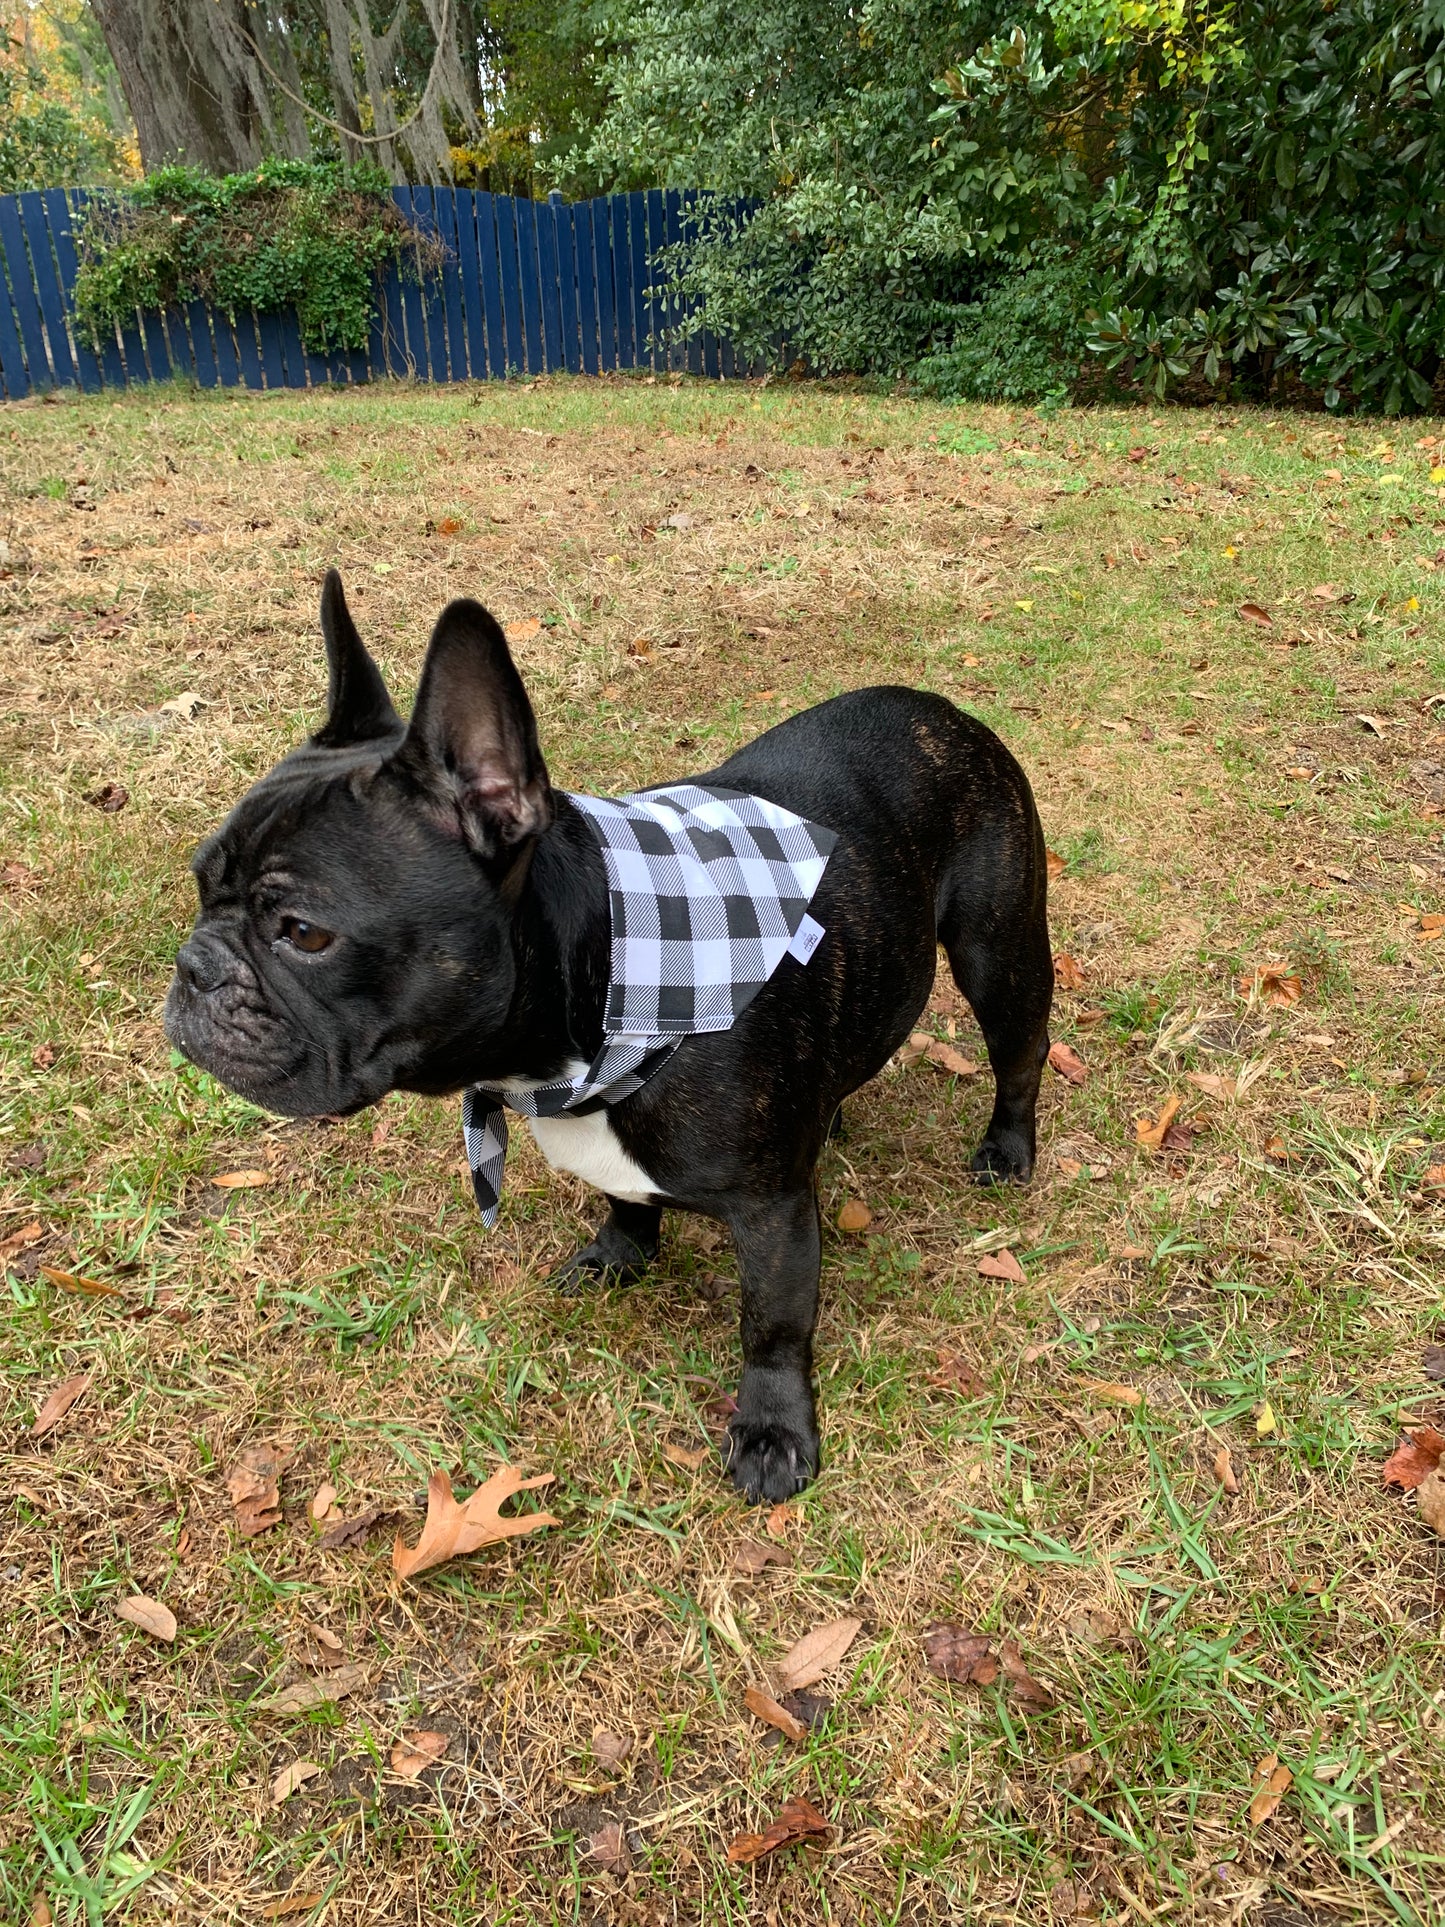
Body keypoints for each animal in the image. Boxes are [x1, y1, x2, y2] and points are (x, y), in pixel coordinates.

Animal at [166, 570, 1055, 1503]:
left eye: (303, 932)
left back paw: (1006, 1148)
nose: (194, 965)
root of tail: (938, 708)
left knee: (1019, 1051)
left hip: (997, 949)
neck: (613, 986)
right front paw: (620, 1250)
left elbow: (772, 1322)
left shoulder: (772, 1212)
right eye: (198, 884)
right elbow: (621, 1193)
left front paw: (773, 1431)